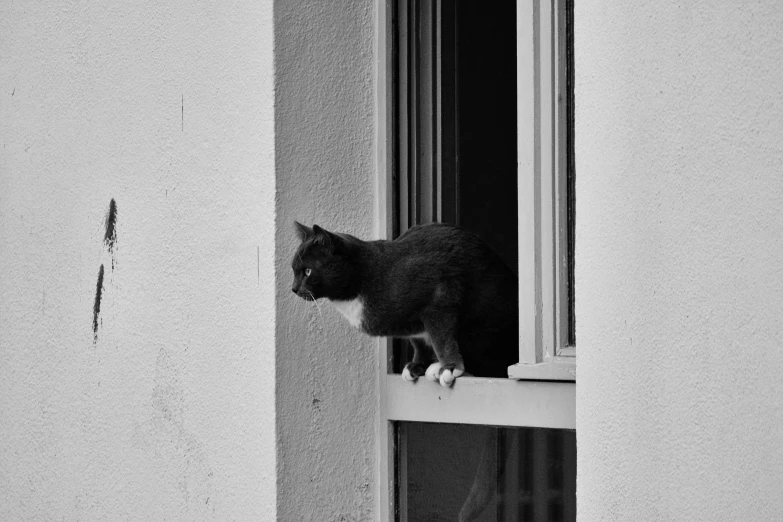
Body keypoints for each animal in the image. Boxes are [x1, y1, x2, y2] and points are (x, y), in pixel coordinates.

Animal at [290, 219, 516, 386]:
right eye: (293, 270)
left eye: (307, 271)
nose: (293, 288)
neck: (364, 277)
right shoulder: (413, 325)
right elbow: (418, 341)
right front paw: (417, 364)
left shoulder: (439, 298)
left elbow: (442, 337)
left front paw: (450, 367)